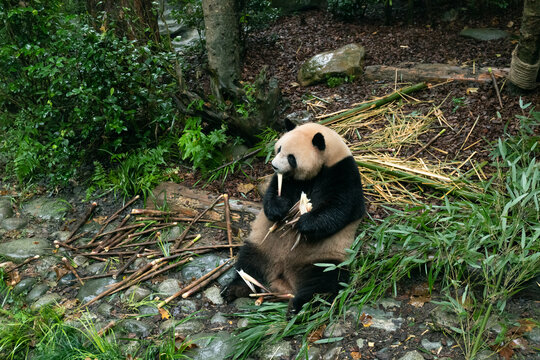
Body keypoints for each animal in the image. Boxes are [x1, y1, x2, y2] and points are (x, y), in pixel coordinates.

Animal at [226, 121, 364, 312]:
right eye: (279, 149)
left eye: (291, 157)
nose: (274, 166)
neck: (326, 162)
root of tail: (282, 275)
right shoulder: (289, 180)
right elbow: (273, 193)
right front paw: (279, 209)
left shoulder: (343, 173)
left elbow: (340, 206)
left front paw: (304, 223)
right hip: (262, 246)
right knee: (248, 264)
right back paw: (237, 288)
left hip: (321, 259)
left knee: (324, 283)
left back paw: (299, 307)